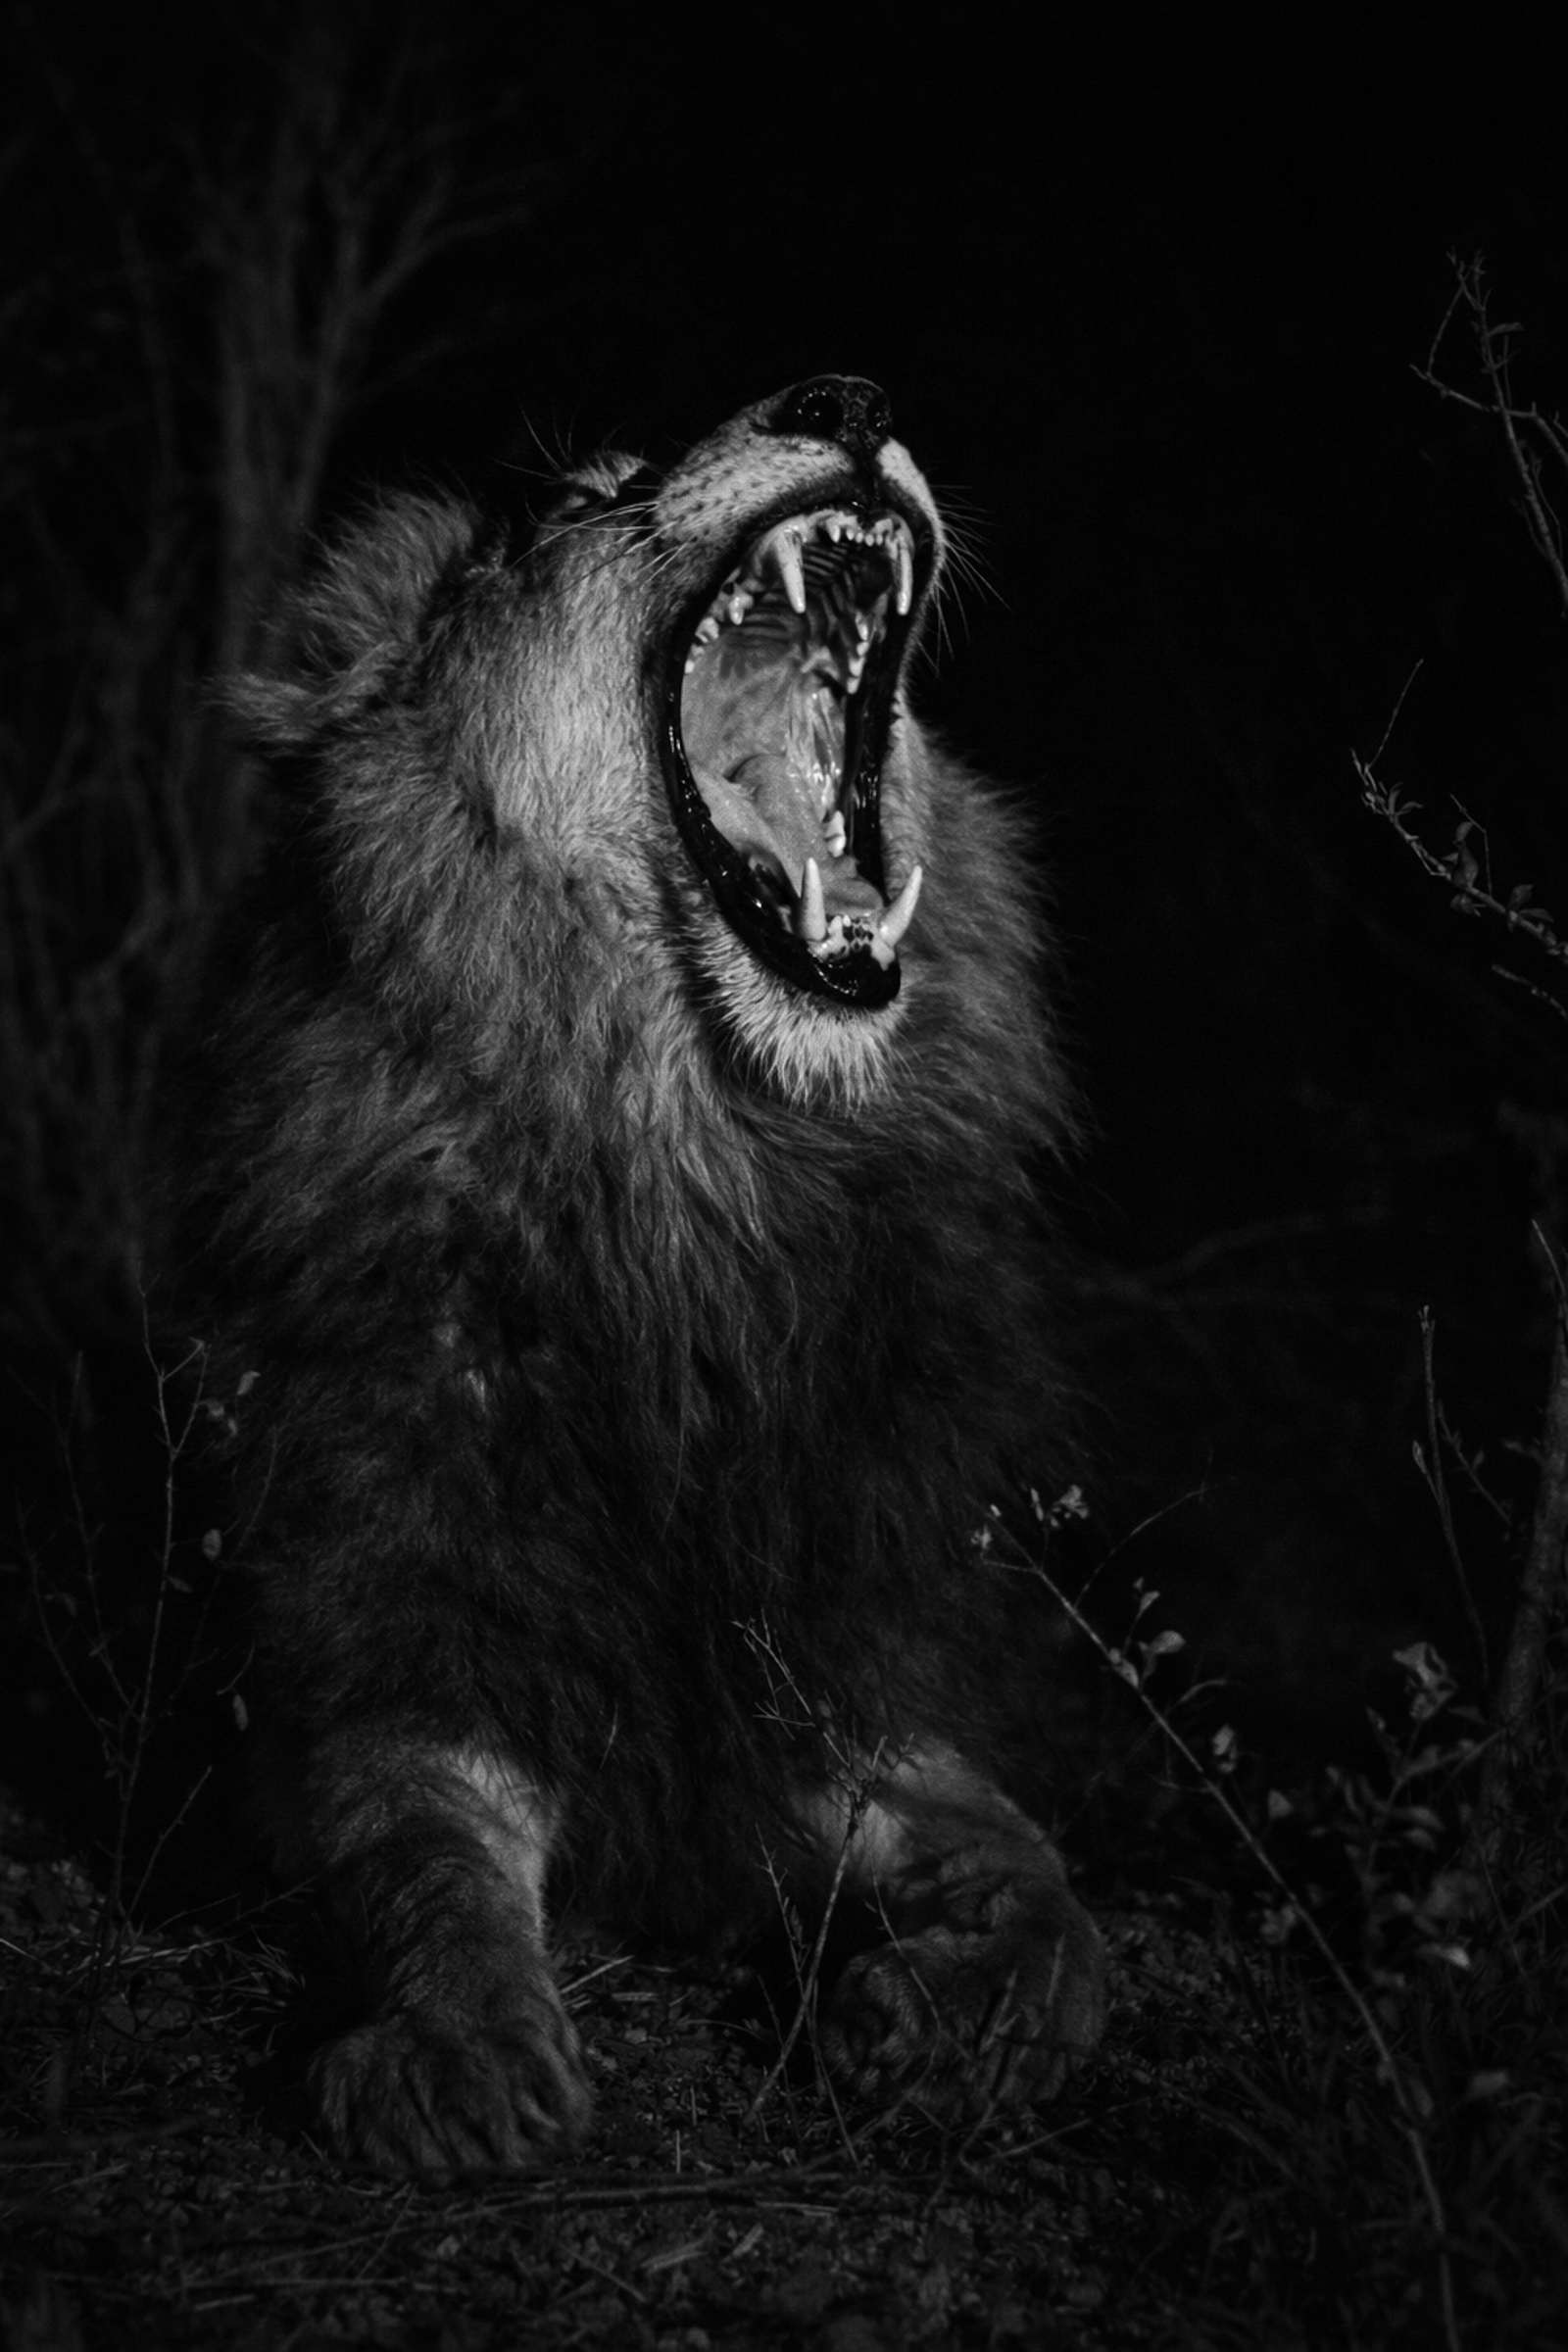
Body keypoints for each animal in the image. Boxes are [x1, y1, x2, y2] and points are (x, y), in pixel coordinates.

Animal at [169, 376, 1108, 2175]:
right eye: (578, 506)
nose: (846, 400)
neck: (696, 1179)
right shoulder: (387, 1666)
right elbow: (422, 1861)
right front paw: (455, 2057)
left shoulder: (862, 1689)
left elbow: (1051, 1890)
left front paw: (937, 2029)